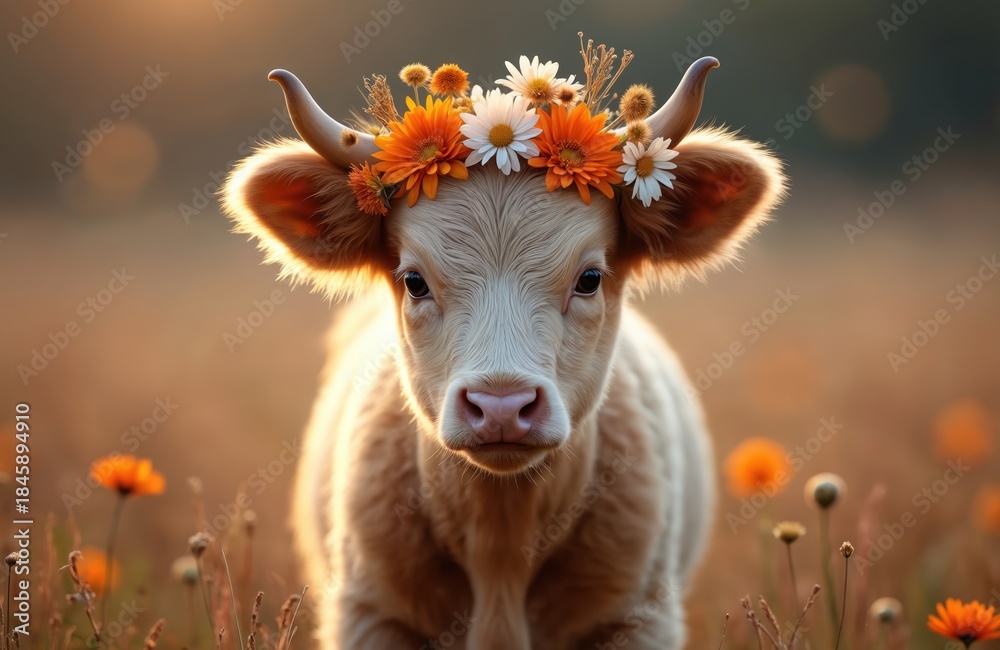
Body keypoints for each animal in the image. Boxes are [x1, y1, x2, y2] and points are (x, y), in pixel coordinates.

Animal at [221, 56, 784, 649]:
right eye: (414, 281)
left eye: (589, 278)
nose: (501, 408)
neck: (501, 542)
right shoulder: (372, 614)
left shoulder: (635, 619)